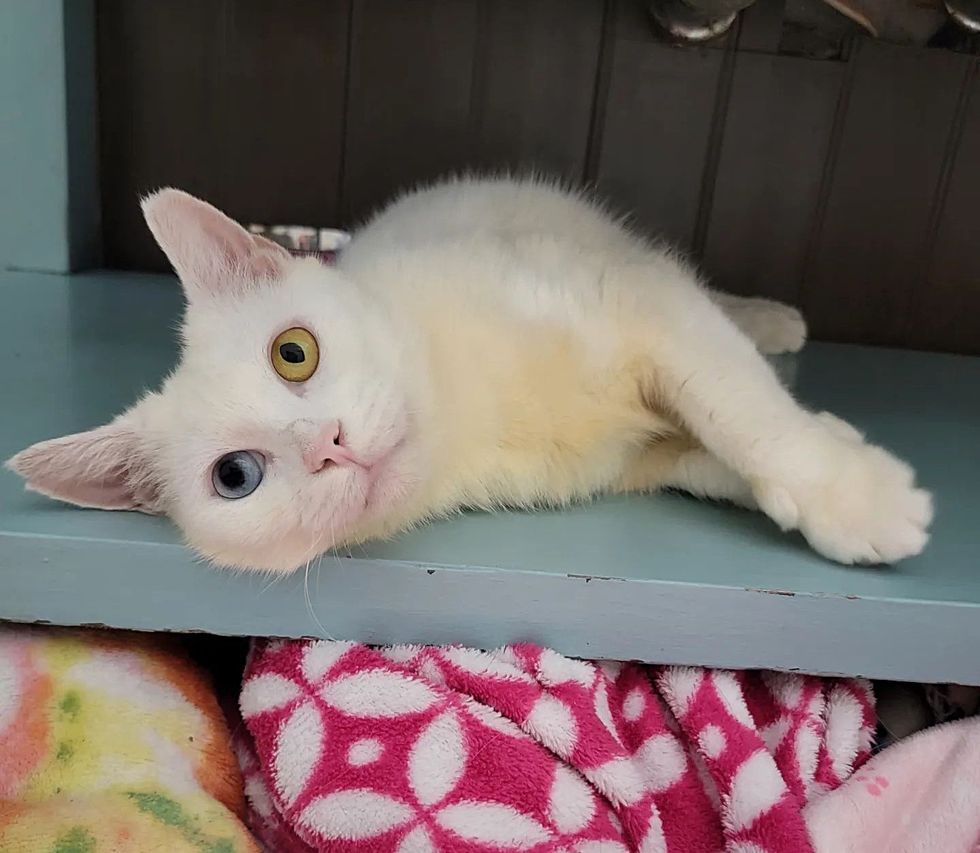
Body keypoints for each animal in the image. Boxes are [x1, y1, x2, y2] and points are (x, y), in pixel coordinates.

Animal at [9, 176, 936, 568]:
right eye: (236, 476)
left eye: (293, 351)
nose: (330, 443)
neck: (469, 410)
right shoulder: (631, 461)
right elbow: (716, 452)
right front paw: (836, 478)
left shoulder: (640, 304)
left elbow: (741, 409)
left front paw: (850, 491)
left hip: (626, 256)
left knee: (714, 306)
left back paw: (774, 320)